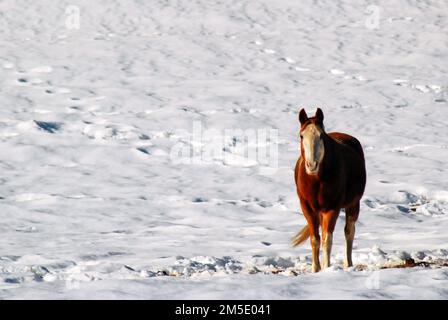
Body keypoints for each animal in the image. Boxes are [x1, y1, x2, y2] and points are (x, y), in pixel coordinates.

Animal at [292, 108, 366, 272]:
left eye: (321, 136)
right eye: (301, 135)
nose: (312, 165)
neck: (316, 180)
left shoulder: (332, 208)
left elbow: (327, 239)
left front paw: (326, 268)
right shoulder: (307, 208)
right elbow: (315, 239)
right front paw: (315, 269)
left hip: (353, 204)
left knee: (349, 232)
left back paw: (348, 264)